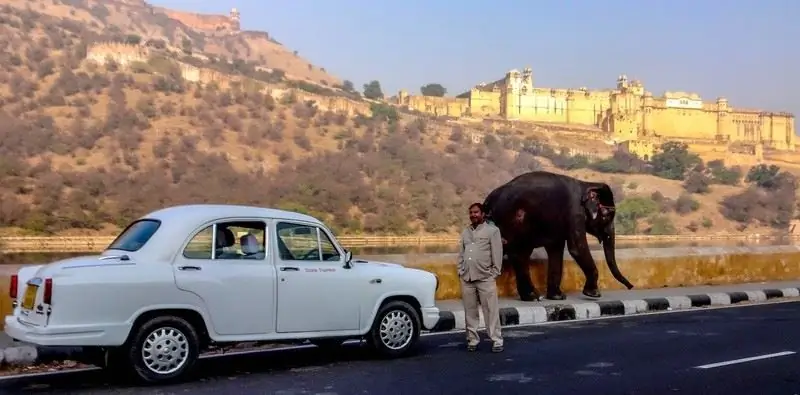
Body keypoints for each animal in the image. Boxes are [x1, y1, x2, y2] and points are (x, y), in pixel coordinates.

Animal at [482, 171, 636, 304]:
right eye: (606, 215)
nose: (631, 287)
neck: (586, 184)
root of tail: (488, 203)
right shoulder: (574, 212)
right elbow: (576, 248)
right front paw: (594, 294)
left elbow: (556, 249)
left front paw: (558, 297)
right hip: (515, 219)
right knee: (519, 253)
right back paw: (533, 297)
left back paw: (532, 297)